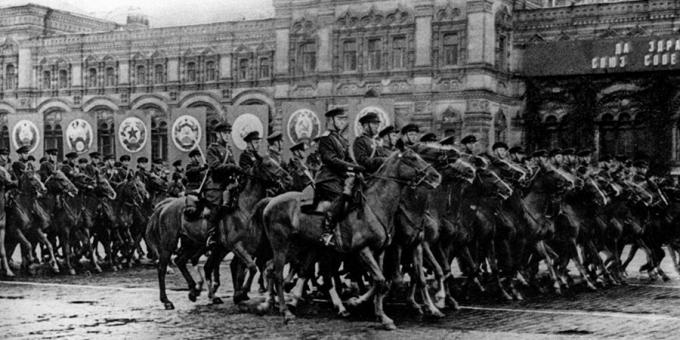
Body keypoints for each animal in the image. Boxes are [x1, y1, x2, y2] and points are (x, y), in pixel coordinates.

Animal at [258, 149, 440, 330]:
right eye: (413, 158)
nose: (436, 176)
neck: (376, 205)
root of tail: (271, 202)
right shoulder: (364, 250)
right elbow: (383, 280)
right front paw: (374, 311)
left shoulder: (382, 251)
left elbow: (381, 282)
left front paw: (379, 313)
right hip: (282, 246)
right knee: (279, 274)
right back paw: (286, 312)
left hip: (299, 247)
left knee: (277, 268)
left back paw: (276, 302)